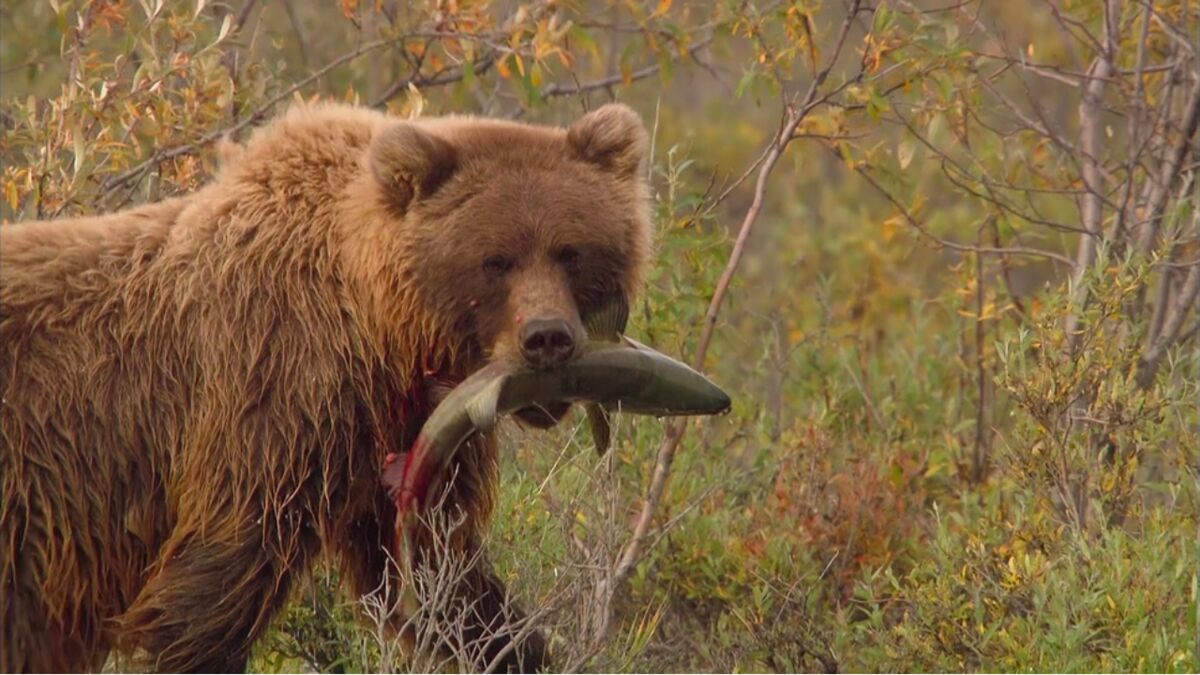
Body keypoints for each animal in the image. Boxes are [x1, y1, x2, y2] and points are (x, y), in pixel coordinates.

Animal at [0, 102, 652, 667]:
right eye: (495, 260)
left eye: (570, 250)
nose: (548, 337)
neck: (376, 327)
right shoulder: (270, 394)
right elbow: (219, 578)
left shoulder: (413, 437)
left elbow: (443, 577)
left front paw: (517, 645)